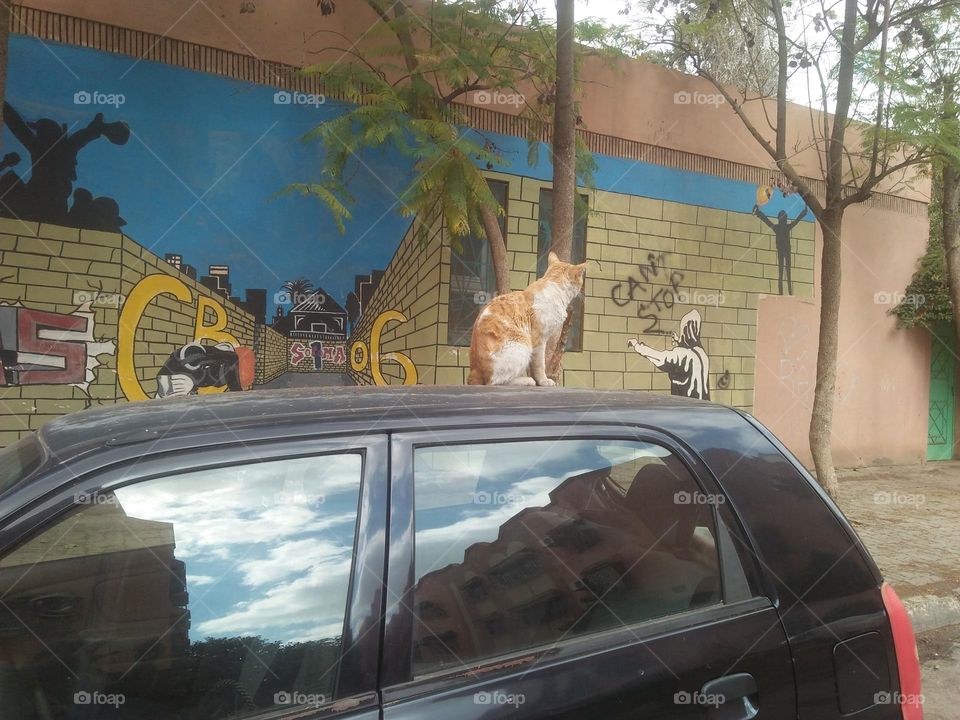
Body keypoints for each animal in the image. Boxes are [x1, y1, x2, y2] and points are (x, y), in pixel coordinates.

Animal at [464, 253, 584, 388]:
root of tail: (474, 371)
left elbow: (532, 367)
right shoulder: (539, 340)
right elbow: (539, 365)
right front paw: (543, 381)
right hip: (523, 344)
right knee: (495, 381)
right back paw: (526, 380)